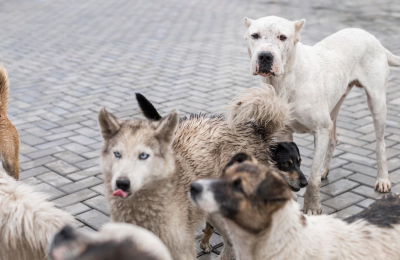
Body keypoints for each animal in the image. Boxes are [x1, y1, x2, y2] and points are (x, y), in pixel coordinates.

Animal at [242, 16, 400, 215]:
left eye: (282, 37)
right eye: (255, 35)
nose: (265, 56)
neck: (285, 82)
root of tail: (371, 37)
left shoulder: (320, 129)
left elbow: (313, 176)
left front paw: (311, 206)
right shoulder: (284, 133)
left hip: (377, 102)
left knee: (380, 143)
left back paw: (383, 179)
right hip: (335, 104)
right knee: (333, 138)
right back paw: (326, 168)